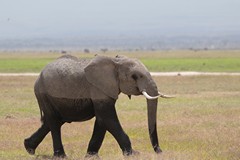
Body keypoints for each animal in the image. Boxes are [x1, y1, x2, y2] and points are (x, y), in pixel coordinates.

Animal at [23, 54, 172, 158]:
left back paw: (28, 148)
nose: (160, 152)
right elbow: (108, 118)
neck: (115, 61)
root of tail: (39, 76)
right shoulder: (98, 88)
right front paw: (134, 154)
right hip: (43, 93)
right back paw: (61, 156)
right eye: (135, 76)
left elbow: (101, 120)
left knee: (54, 121)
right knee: (54, 122)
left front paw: (91, 156)